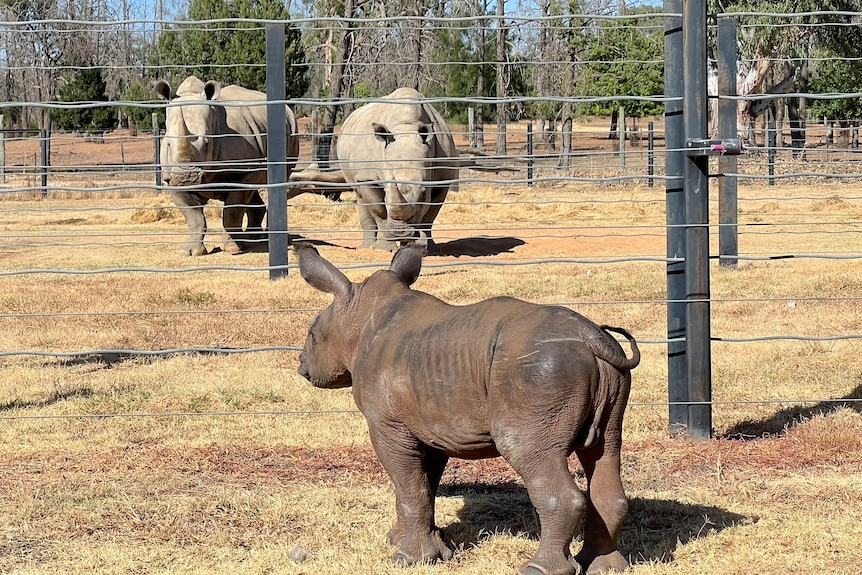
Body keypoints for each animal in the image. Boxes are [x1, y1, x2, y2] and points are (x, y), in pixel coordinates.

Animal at [155, 76, 299, 256]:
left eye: (207, 143)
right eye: (168, 144)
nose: (185, 179)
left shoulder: (241, 172)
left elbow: (232, 212)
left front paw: (232, 249)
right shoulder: (170, 177)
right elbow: (193, 216)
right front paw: (190, 252)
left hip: (292, 130)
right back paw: (252, 238)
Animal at [291, 88, 459, 254]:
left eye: (423, 194)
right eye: (386, 193)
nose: (400, 232)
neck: (407, 127)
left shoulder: (443, 178)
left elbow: (430, 215)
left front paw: (427, 250)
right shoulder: (368, 178)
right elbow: (380, 210)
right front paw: (385, 249)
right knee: (360, 195)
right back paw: (366, 247)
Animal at [296, 242, 640, 575]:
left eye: (312, 335)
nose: (301, 365)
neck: (357, 315)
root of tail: (591, 337)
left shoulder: (388, 424)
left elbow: (408, 486)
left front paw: (409, 558)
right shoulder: (428, 424)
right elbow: (424, 485)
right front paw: (416, 543)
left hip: (539, 369)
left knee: (530, 451)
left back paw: (538, 569)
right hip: (604, 374)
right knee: (605, 448)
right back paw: (606, 567)